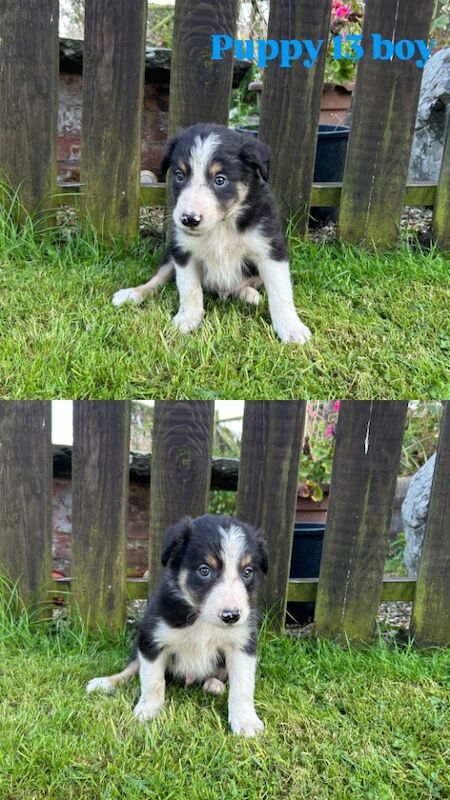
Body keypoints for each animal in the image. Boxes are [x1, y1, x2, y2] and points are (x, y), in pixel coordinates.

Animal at [87, 516, 268, 736]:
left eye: (247, 572)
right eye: (204, 570)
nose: (231, 616)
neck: (201, 619)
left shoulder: (242, 644)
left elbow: (242, 687)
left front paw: (246, 721)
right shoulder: (151, 639)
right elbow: (153, 681)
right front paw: (147, 710)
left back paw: (214, 684)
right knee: (130, 669)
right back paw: (105, 683)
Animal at [111, 122, 312, 344]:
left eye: (220, 180)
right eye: (179, 176)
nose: (189, 219)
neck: (220, 226)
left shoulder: (270, 249)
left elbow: (281, 293)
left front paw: (291, 329)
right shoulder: (183, 252)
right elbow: (189, 289)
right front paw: (187, 319)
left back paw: (249, 294)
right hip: (170, 254)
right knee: (157, 279)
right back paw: (132, 294)